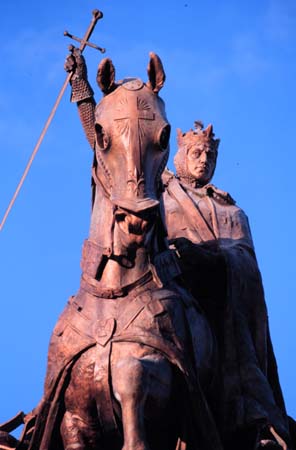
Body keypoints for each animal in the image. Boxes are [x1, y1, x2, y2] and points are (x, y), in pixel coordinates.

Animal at [27, 51, 221, 450]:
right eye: (101, 134)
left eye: (164, 134)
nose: (135, 217)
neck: (113, 295)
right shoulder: (74, 419)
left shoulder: (148, 386)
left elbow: (133, 377)